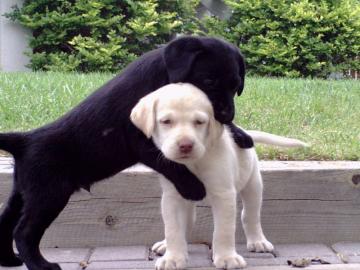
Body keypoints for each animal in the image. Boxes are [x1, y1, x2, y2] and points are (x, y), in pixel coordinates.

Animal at [0, 36, 253, 270]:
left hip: (24, 192)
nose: (227, 114)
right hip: (48, 195)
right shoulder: (140, 140)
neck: (161, 77)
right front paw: (193, 187)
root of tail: (24, 140)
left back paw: (9, 259)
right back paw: (40, 264)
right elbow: (169, 162)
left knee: (6, 220)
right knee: (23, 232)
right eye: (209, 81)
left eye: (235, 86)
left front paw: (241, 135)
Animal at [131, 83, 308, 268]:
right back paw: (165, 244)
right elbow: (173, 228)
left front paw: (226, 257)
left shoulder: (224, 194)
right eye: (166, 121)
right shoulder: (173, 196)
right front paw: (173, 258)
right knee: (187, 222)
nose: (186, 145)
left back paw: (258, 241)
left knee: (250, 215)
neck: (195, 163)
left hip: (253, 184)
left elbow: (224, 230)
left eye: (199, 122)